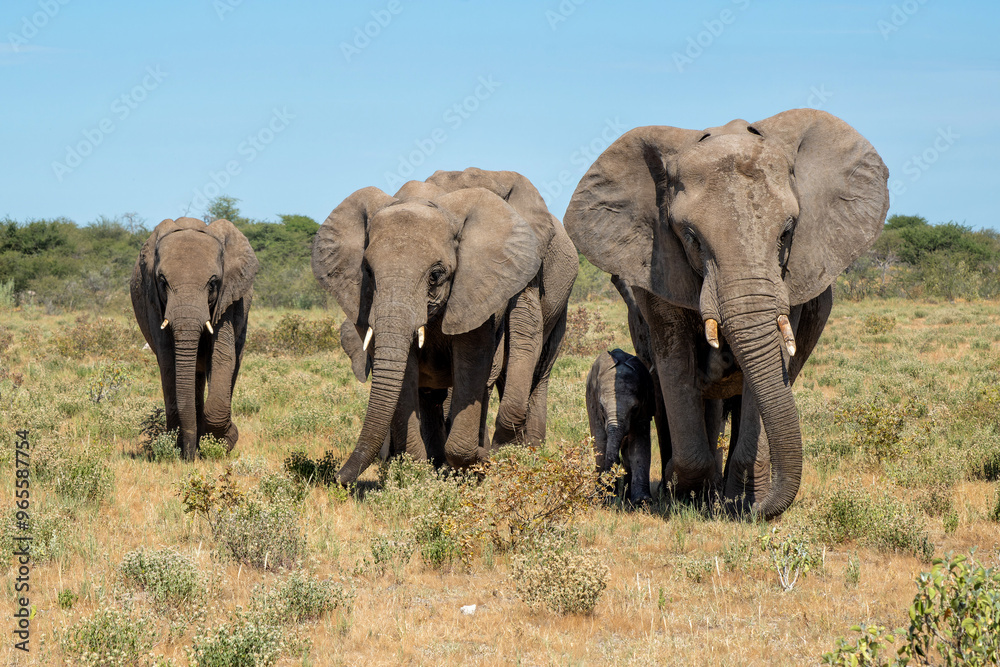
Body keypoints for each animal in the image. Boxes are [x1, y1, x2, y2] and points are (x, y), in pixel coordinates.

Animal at [131, 217, 259, 460]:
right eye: (163, 282)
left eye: (213, 283)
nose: (190, 457)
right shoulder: (153, 301)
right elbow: (168, 360)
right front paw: (180, 445)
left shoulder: (227, 299)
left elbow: (222, 356)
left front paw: (225, 441)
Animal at [313, 169, 576, 484]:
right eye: (368, 271)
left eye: (436, 275)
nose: (337, 477)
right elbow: (406, 371)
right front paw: (418, 471)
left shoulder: (498, 279)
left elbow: (481, 356)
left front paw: (478, 461)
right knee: (433, 394)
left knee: (536, 373)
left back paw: (525, 455)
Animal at [586, 348, 654, 504]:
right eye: (602, 407)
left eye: (634, 408)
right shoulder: (593, 404)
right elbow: (601, 442)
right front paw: (606, 498)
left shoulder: (644, 407)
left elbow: (639, 445)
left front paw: (641, 501)